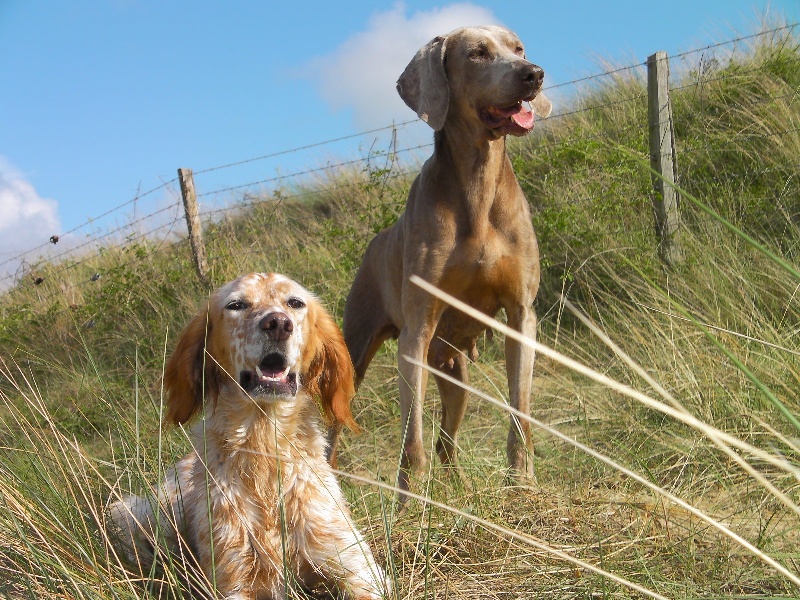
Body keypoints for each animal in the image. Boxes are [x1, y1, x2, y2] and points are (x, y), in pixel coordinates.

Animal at [110, 274, 390, 600]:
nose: (278, 324)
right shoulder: (233, 579)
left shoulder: (358, 568)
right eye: (236, 305)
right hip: (146, 513)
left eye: (295, 303)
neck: (265, 444)